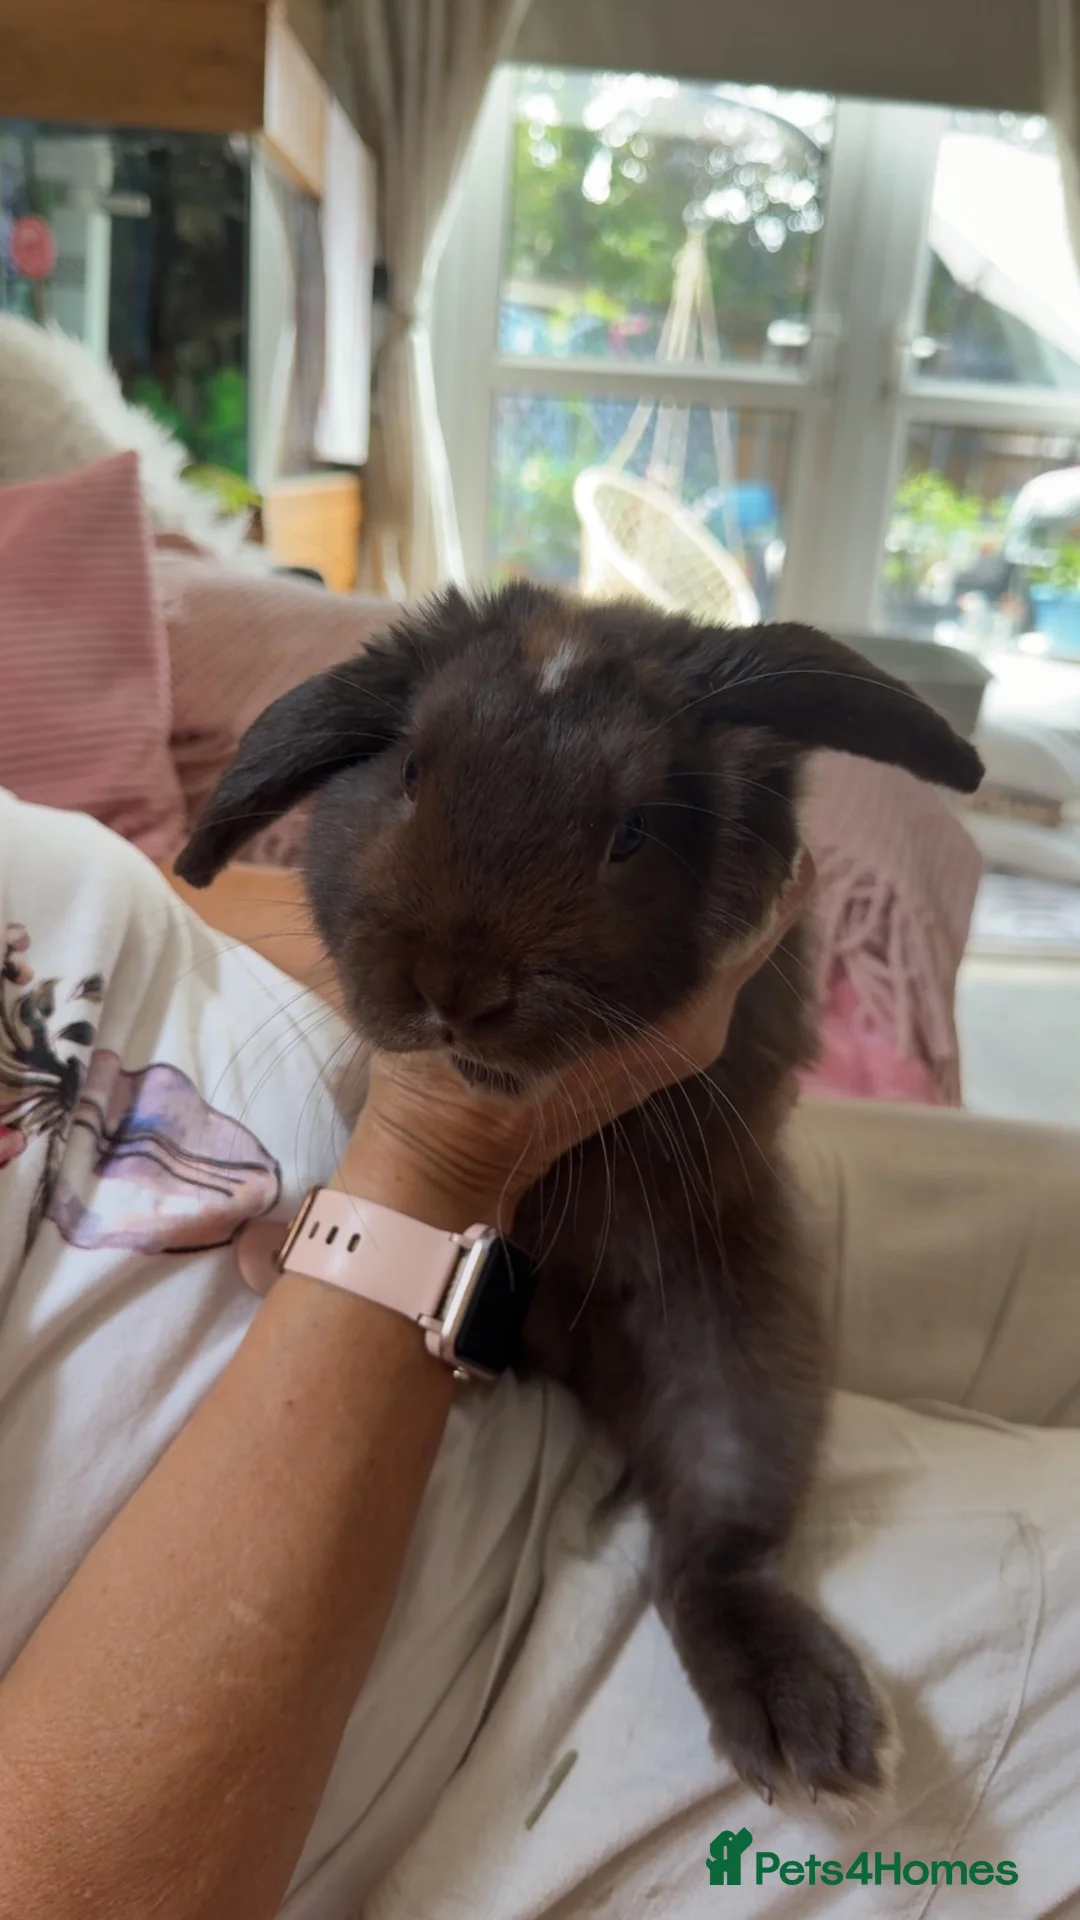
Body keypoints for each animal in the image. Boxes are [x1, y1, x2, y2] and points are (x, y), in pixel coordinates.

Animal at [176, 580, 983, 1808]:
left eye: (634, 831)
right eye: (410, 772)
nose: (455, 991)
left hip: (737, 1339)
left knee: (712, 1549)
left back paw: (799, 1713)